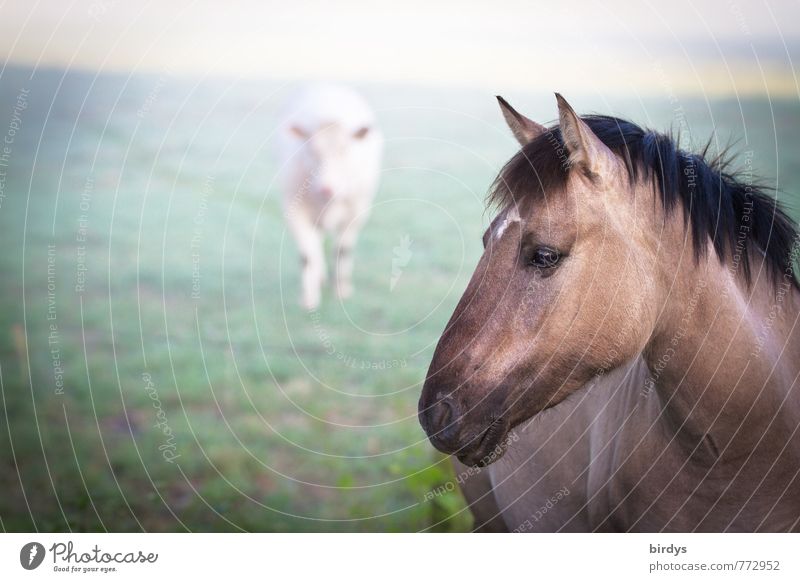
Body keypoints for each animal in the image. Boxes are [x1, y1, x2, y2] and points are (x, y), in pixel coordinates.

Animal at [278, 84, 384, 310]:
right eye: (311, 150)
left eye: (345, 150)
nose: (326, 188)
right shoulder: (294, 209)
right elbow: (306, 255)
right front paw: (309, 298)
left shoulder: (357, 210)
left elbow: (342, 250)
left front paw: (342, 291)